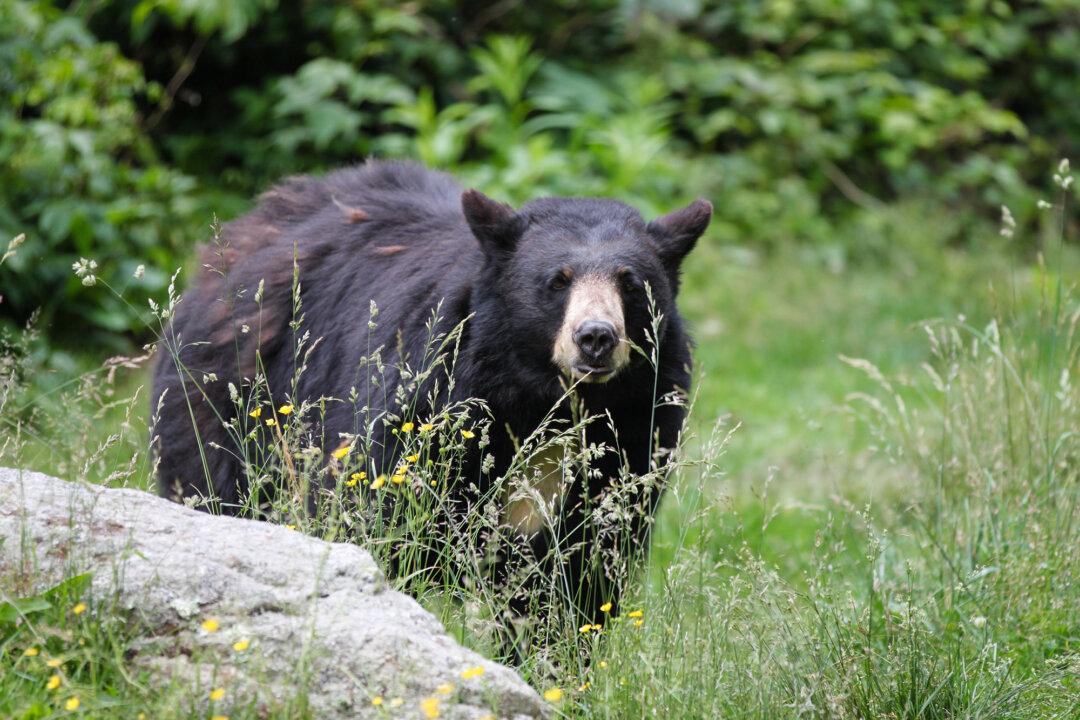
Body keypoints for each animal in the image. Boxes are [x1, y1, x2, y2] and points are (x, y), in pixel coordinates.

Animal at [151, 159, 711, 628]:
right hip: (232, 405)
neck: (541, 404)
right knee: (215, 485)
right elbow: (384, 526)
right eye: (558, 280)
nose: (596, 337)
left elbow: (581, 575)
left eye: (630, 283)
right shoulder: (424, 414)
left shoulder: (633, 438)